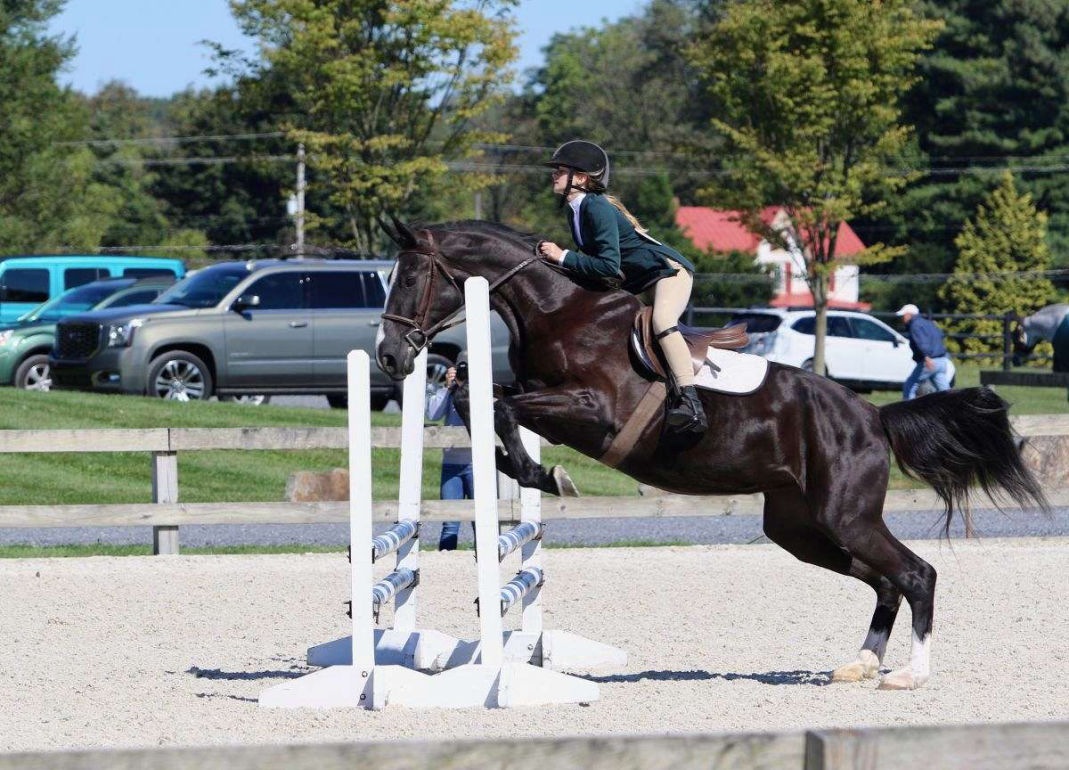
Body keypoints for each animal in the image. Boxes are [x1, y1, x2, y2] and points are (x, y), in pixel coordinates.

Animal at [375, 219, 1047, 691]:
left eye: (407, 278)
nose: (388, 356)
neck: (560, 308)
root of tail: (872, 416)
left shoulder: (594, 412)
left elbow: (503, 408)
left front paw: (546, 472)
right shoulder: (539, 394)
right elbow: (477, 395)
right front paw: (525, 466)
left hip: (845, 514)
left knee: (915, 574)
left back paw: (911, 674)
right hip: (798, 527)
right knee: (883, 580)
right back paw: (859, 664)